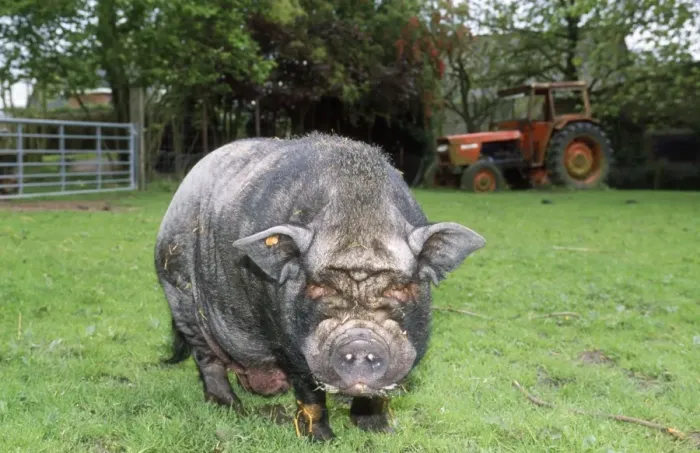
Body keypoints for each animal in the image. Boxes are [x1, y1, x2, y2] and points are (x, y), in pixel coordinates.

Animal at [153, 132, 485, 441]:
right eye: (318, 287)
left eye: (400, 288)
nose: (360, 343)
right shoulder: (289, 343)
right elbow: (310, 395)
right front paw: (323, 439)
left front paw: (381, 431)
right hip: (180, 294)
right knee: (207, 359)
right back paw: (231, 407)